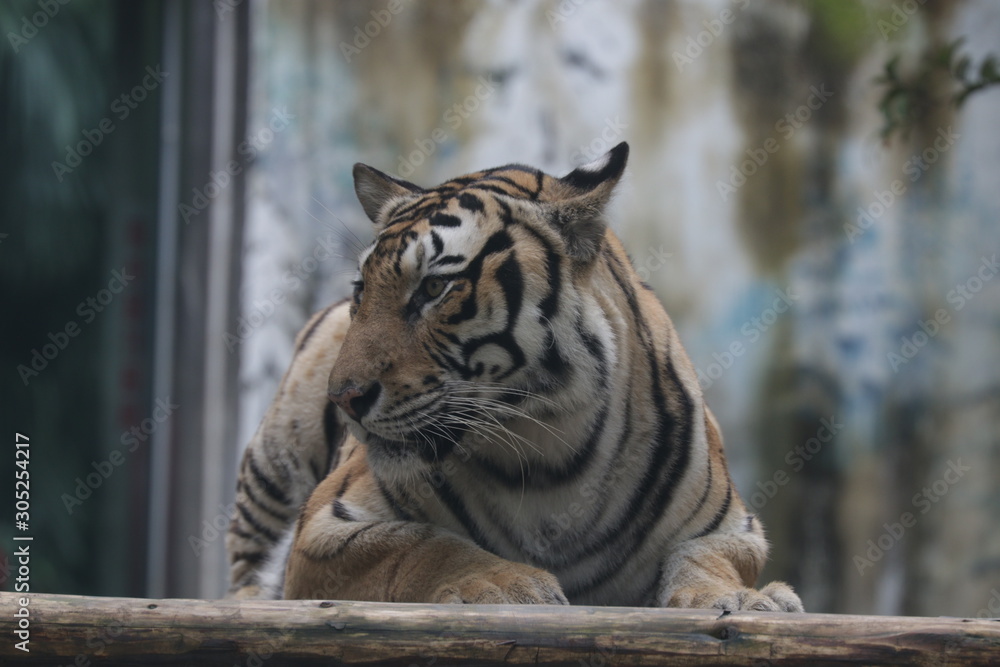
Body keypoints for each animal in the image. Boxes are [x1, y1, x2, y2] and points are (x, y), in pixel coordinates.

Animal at [225, 142, 803, 611]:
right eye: (361, 289)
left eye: (434, 288)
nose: (344, 398)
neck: (550, 454)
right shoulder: (325, 526)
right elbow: (423, 543)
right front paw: (504, 584)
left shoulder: (735, 528)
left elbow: (706, 559)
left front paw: (743, 599)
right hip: (276, 461)